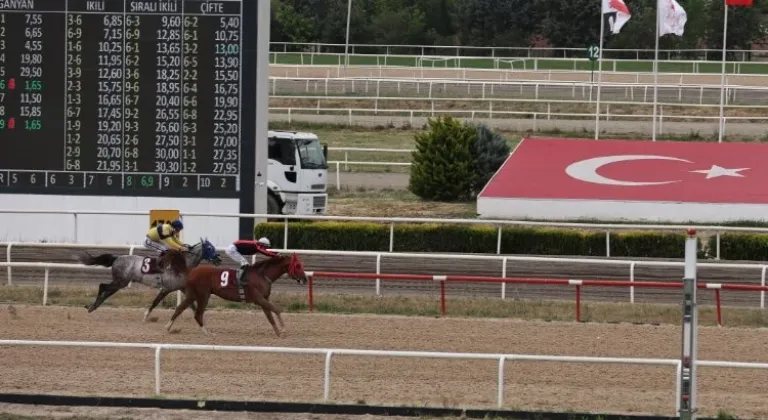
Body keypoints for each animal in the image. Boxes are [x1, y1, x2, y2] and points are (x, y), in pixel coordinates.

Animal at [79, 238, 222, 320]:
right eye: (210, 248)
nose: (219, 259)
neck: (182, 264)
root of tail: (117, 258)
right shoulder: (166, 288)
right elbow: (155, 302)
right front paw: (146, 315)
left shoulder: (180, 287)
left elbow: (191, 303)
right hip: (120, 282)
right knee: (102, 286)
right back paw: (92, 307)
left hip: (120, 282)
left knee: (106, 291)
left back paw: (93, 306)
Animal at [160, 249, 308, 338]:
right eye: (298, 266)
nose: (305, 279)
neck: (262, 275)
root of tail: (191, 270)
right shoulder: (259, 298)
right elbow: (277, 309)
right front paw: (283, 329)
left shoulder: (263, 299)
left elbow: (270, 316)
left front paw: (278, 332)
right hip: (203, 295)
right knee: (197, 314)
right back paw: (208, 333)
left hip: (192, 295)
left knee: (179, 308)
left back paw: (168, 327)